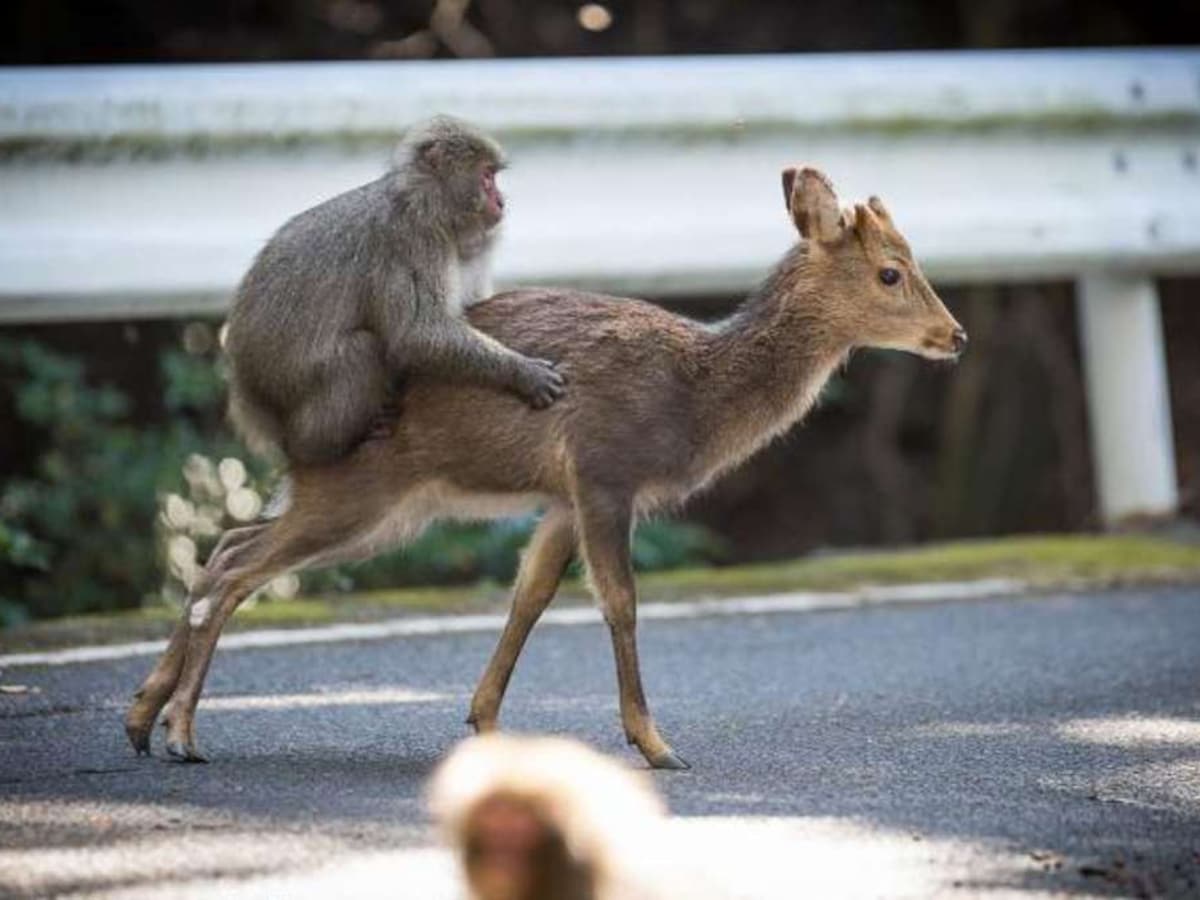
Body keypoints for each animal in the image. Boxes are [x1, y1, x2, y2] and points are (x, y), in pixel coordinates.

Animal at [124, 168, 964, 768]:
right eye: (892, 272)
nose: (954, 335)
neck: (692, 396)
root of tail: (286, 427)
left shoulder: (562, 497)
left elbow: (528, 595)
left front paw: (486, 723)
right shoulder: (603, 469)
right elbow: (619, 601)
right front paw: (656, 745)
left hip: (375, 508)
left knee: (225, 547)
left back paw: (141, 717)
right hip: (362, 491)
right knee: (235, 568)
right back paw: (182, 732)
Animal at [223, 113, 564, 468]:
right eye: (486, 176)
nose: (501, 201)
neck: (424, 202)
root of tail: (248, 393)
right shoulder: (413, 241)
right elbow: (416, 334)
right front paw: (521, 372)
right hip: (288, 388)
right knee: (361, 350)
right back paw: (317, 447)